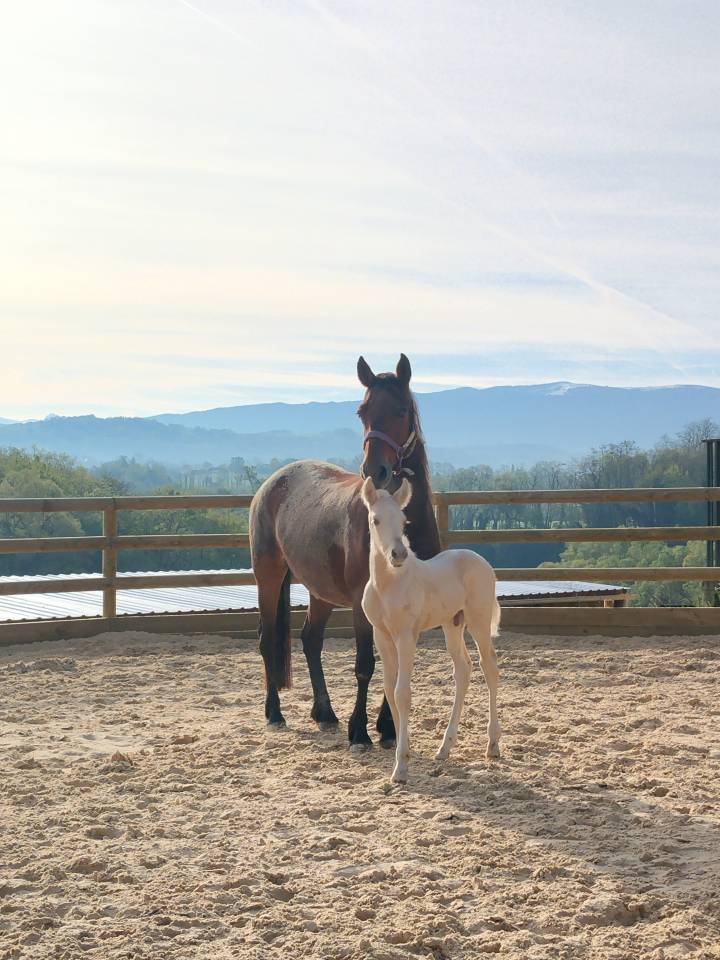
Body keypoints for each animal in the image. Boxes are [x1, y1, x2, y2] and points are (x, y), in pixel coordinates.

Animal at [249, 354, 442, 748]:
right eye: (363, 411)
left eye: (401, 410)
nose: (375, 470)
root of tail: (274, 482)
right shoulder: (361, 604)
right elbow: (365, 664)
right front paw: (361, 731)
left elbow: (397, 662)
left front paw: (388, 727)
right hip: (268, 576)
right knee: (267, 639)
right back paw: (275, 713)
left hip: (319, 590)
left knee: (311, 640)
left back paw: (324, 712)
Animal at [360, 476, 501, 783]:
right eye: (376, 519)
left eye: (404, 521)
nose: (398, 553)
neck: (388, 585)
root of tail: (481, 560)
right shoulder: (381, 636)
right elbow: (388, 689)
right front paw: (405, 750)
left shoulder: (406, 636)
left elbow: (402, 692)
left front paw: (401, 767)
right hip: (453, 623)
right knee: (463, 669)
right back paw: (444, 748)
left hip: (478, 619)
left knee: (489, 667)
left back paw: (493, 744)